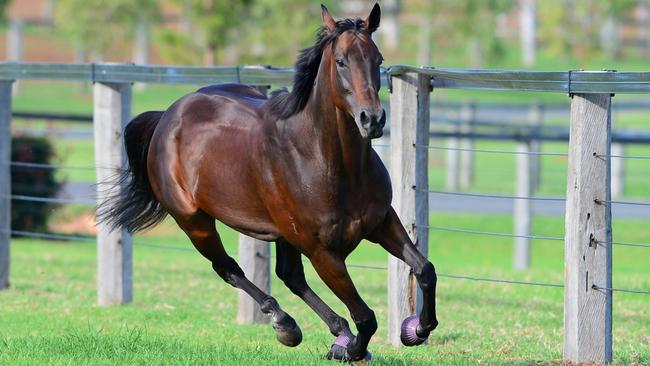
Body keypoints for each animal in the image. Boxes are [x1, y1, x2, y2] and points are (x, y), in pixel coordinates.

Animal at [98, 3, 438, 364]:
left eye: (378, 58)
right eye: (341, 61)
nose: (371, 119)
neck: (328, 162)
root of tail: (167, 116)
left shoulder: (381, 222)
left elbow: (424, 269)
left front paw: (418, 329)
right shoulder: (323, 252)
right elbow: (365, 316)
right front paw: (354, 350)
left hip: (282, 232)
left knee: (289, 276)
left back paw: (335, 333)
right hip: (194, 222)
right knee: (229, 268)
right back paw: (286, 324)